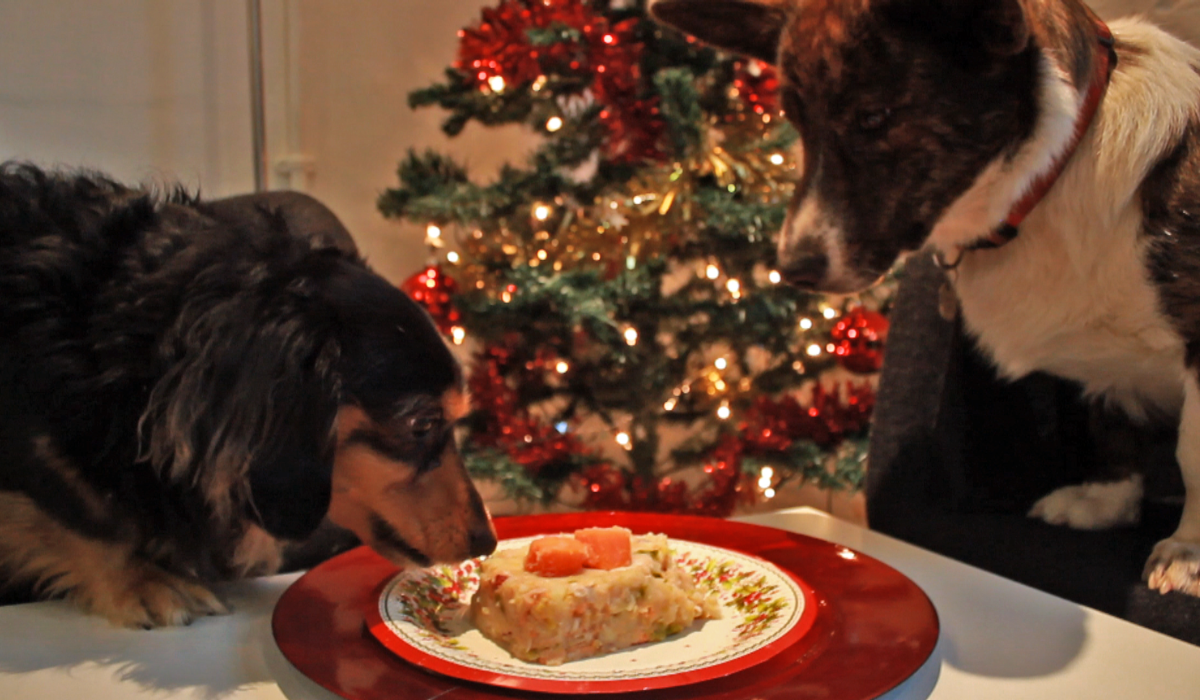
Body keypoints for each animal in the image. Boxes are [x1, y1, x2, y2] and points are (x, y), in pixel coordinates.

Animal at [652, 0, 1200, 597]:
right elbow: (1109, 422)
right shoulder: (1105, 373)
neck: (1058, 166)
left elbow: (1190, 452)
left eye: (874, 117)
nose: (793, 269)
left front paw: (1187, 552)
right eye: (798, 124)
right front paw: (1103, 502)